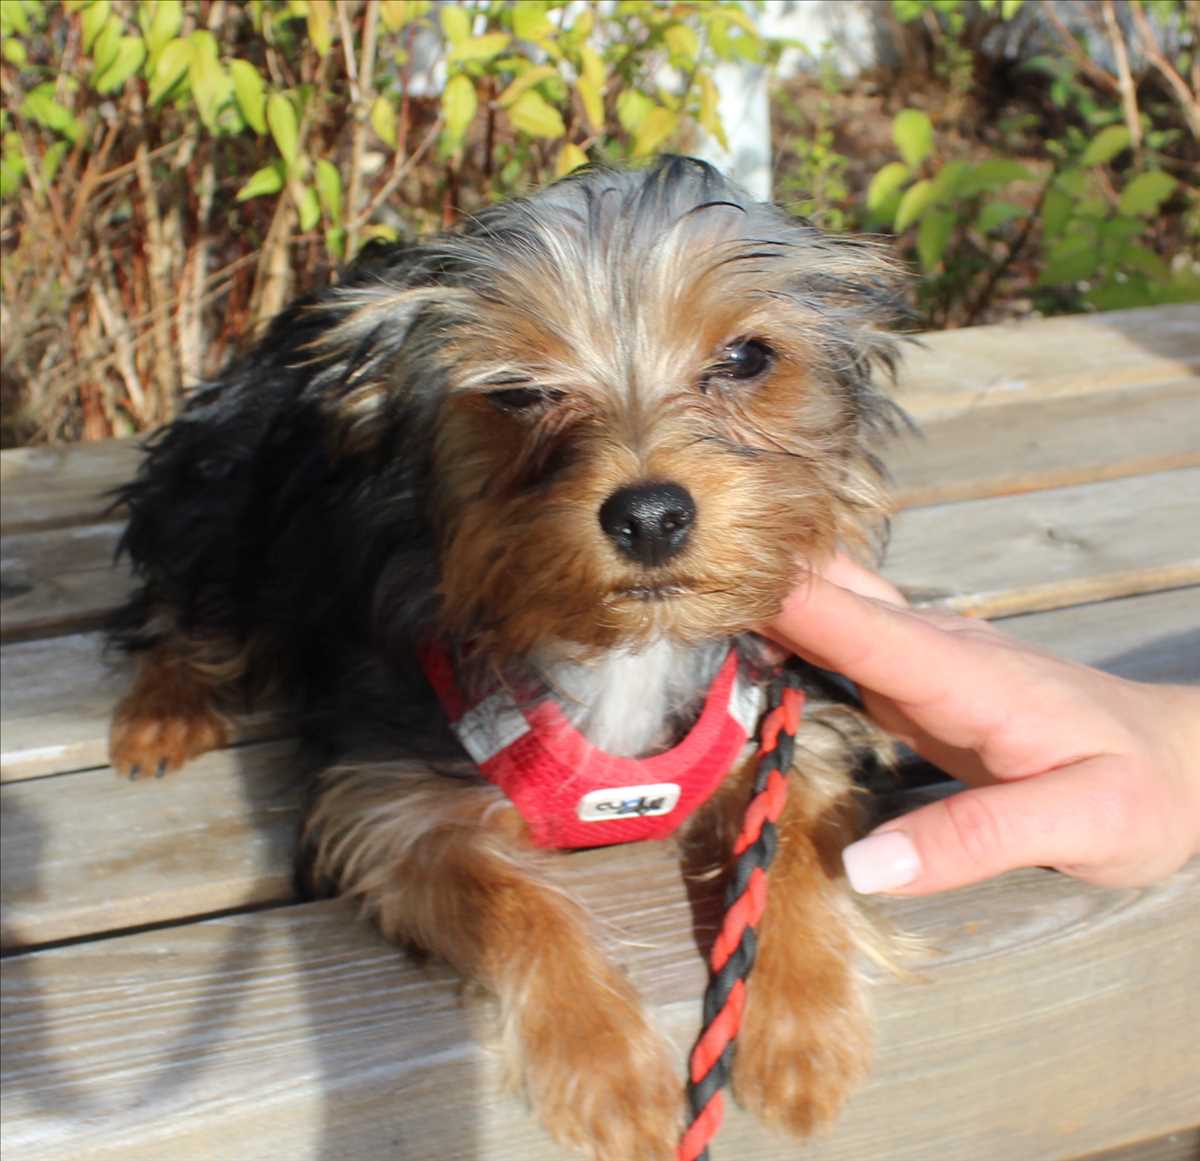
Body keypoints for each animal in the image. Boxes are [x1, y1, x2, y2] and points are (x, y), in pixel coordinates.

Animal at [108, 156, 905, 1159]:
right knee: (183, 596)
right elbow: (520, 906)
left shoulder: (785, 725)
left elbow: (794, 840)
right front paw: (608, 1068)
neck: (622, 648)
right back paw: (161, 711)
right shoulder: (395, 808)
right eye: (518, 390)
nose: (649, 513)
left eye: (748, 358)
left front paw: (800, 1031)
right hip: (227, 482)